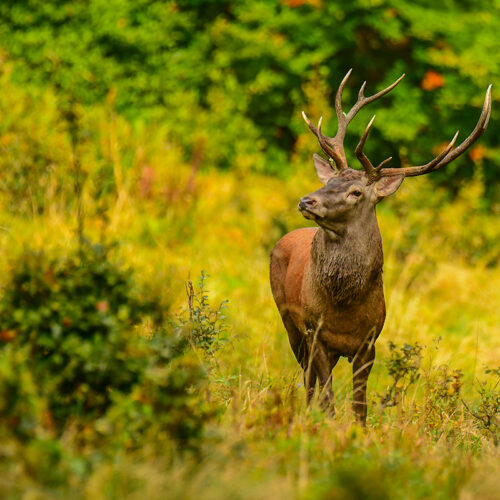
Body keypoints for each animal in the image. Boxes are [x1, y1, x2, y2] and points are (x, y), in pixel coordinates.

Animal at [272, 68, 490, 424]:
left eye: (356, 192)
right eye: (330, 181)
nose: (307, 200)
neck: (344, 307)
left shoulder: (369, 342)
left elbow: (359, 405)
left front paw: (358, 432)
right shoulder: (315, 332)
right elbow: (328, 397)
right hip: (289, 320)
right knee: (308, 379)